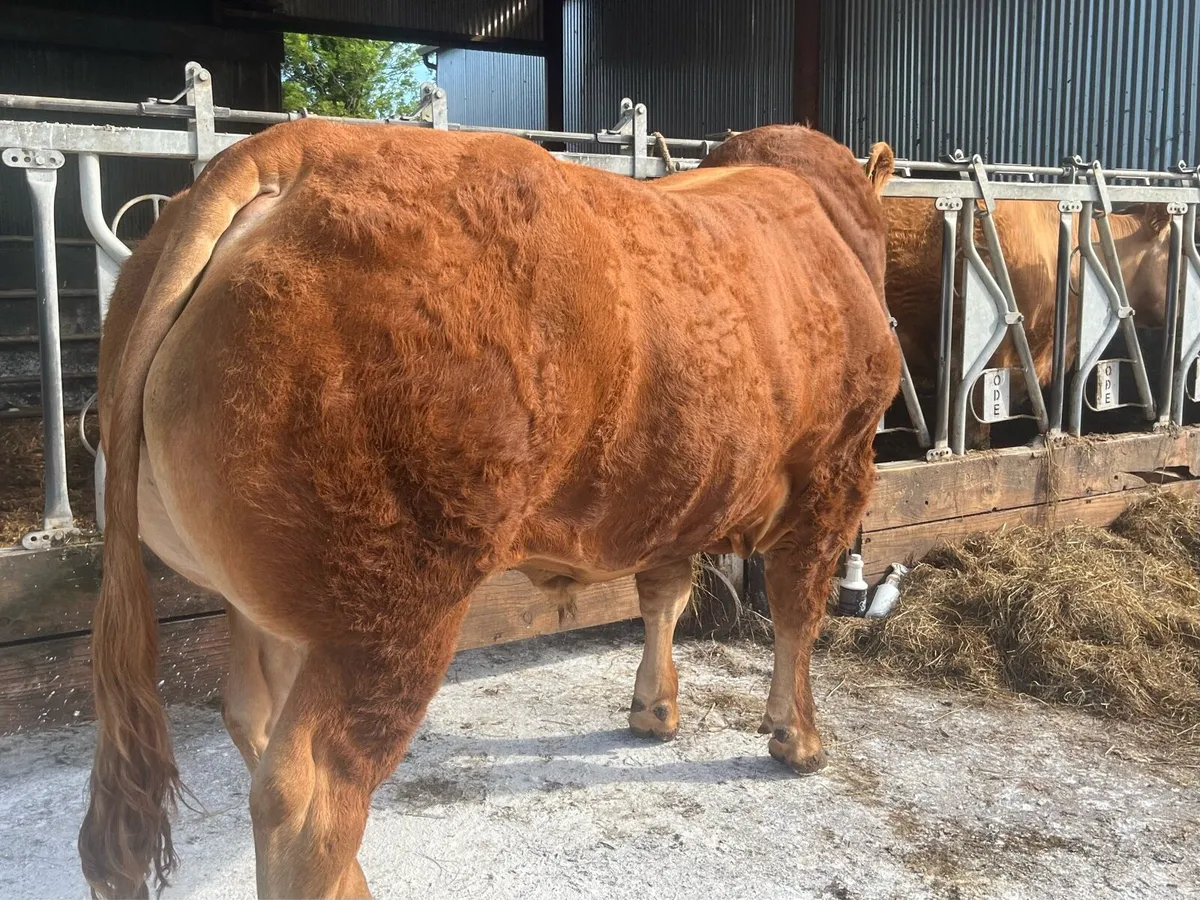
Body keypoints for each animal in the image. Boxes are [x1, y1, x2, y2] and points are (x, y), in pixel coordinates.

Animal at [79, 119, 900, 899]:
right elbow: (797, 609)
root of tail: (289, 151)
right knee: (306, 791)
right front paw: (797, 738)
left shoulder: (673, 486)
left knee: (251, 715)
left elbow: (664, 595)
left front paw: (654, 711)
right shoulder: (837, 469)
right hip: (389, 609)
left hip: (272, 601)